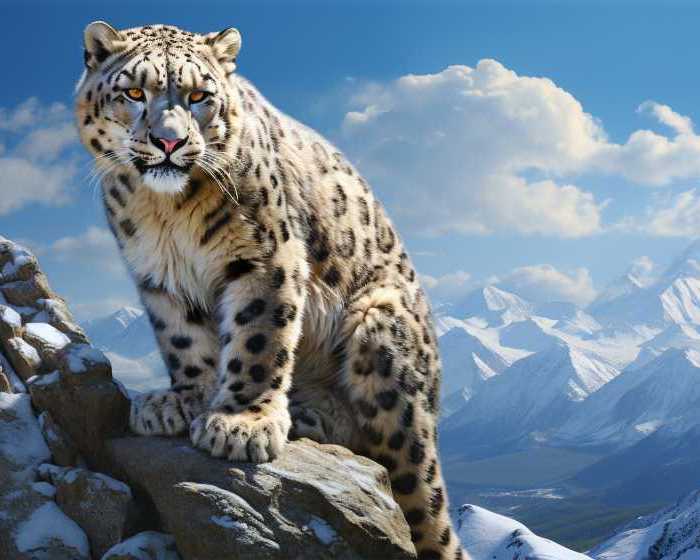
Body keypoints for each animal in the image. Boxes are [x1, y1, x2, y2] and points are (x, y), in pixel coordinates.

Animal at [75, 21, 466, 560]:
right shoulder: (157, 275)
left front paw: (242, 423)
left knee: (409, 480)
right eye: (134, 93)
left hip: (381, 333)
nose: (170, 142)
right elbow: (181, 339)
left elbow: (259, 337)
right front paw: (183, 400)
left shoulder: (264, 254)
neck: (164, 214)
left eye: (199, 96)